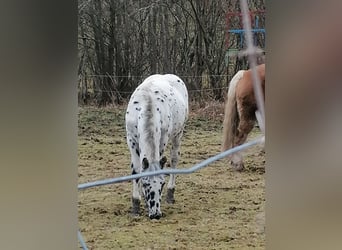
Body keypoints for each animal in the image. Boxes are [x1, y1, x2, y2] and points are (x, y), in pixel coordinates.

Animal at [125, 73, 188, 219]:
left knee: (174, 159)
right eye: (145, 183)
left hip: (178, 133)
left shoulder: (162, 139)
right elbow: (136, 170)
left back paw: (171, 194)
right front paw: (136, 204)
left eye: (162, 183)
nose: (156, 214)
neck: (146, 105)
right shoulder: (131, 140)